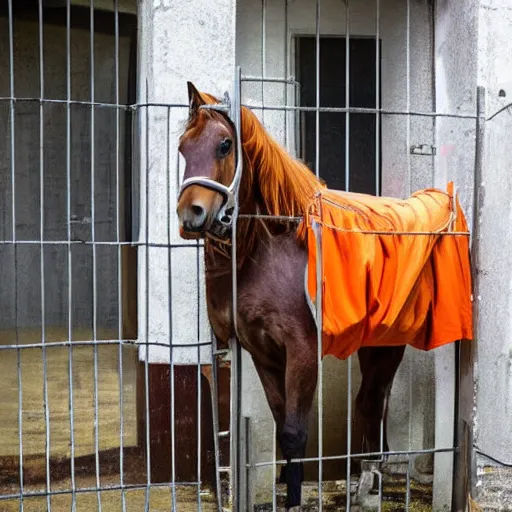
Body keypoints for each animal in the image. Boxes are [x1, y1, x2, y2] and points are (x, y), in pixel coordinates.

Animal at [176, 82, 408, 510]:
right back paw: (366, 482)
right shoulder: (262, 353)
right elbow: (282, 421)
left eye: (225, 145)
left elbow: (295, 432)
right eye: (183, 147)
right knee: (369, 405)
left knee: (373, 401)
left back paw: (370, 483)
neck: (269, 250)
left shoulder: (302, 351)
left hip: (388, 345)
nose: (190, 216)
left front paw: (295, 497)